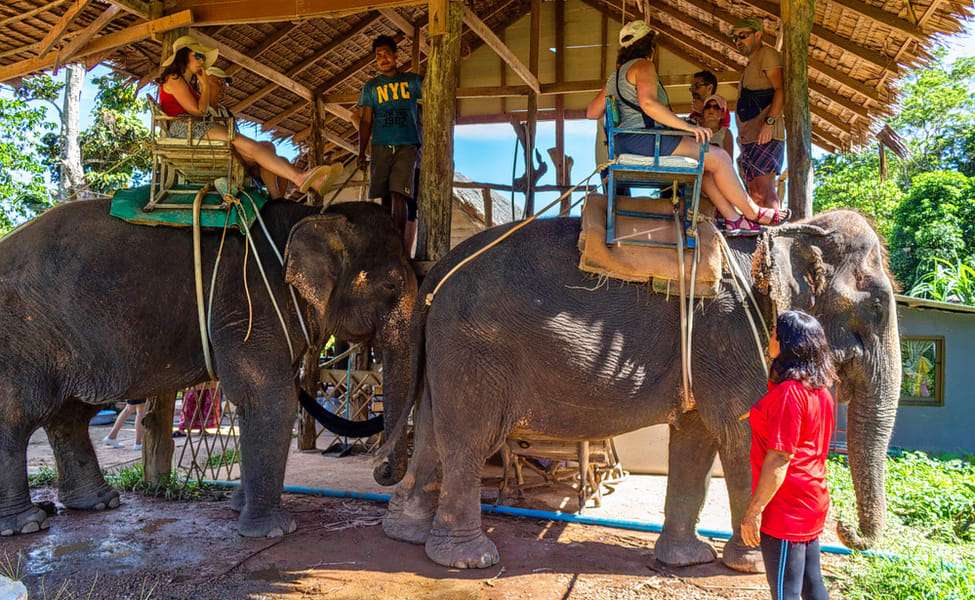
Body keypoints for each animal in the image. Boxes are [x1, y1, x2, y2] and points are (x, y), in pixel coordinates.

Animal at [0, 198, 415, 538]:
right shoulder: (251, 305)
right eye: (391, 286)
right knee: (20, 413)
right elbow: (270, 399)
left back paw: (100, 502)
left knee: (69, 414)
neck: (313, 212)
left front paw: (238, 508)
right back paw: (27, 524)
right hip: (23, 336)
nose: (380, 472)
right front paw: (275, 531)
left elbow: (258, 403)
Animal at [376, 209, 900, 571]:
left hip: (448, 347)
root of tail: (439, 270)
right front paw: (752, 564)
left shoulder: (707, 349)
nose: (848, 531)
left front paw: (689, 561)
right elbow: (744, 433)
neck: (788, 232)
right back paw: (469, 560)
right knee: (469, 439)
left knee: (432, 431)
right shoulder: (731, 334)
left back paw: (405, 531)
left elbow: (696, 437)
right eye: (876, 308)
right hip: (475, 348)